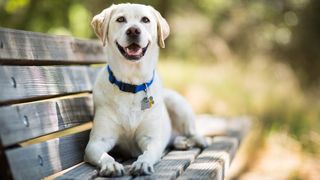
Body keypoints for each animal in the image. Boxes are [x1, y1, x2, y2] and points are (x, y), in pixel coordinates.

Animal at [84, 3, 208, 177]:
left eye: (145, 20)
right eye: (120, 19)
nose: (133, 30)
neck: (131, 84)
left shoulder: (151, 139)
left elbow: (148, 152)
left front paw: (142, 163)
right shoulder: (97, 142)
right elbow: (104, 155)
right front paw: (111, 165)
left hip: (176, 102)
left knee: (190, 130)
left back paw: (198, 140)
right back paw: (181, 142)